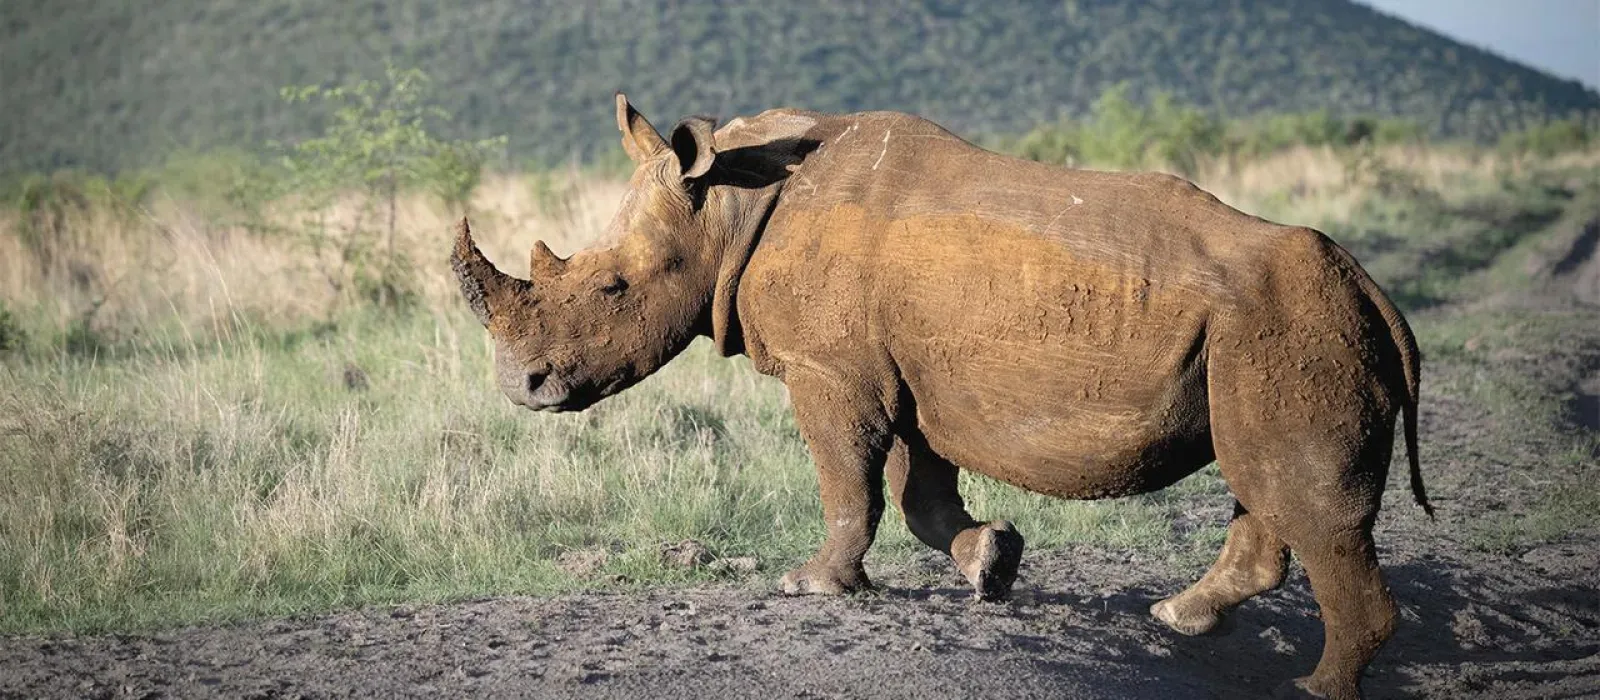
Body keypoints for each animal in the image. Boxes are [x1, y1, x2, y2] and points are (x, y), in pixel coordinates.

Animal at [451, 94, 1432, 699]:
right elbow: (917, 493)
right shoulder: (909, 373)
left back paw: (1313, 686)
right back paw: (1180, 618)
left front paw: (814, 586)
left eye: (612, 288)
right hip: (1269, 328)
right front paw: (992, 562)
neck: (729, 203)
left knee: (1302, 500)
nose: (520, 387)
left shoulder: (830, 369)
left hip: (1288, 321)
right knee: (1261, 481)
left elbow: (846, 478)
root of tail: (1372, 290)